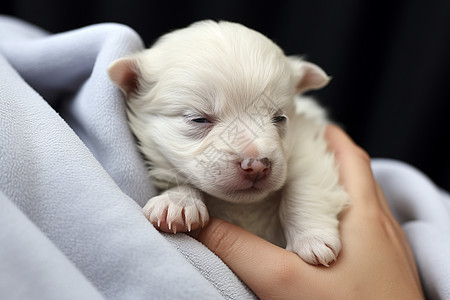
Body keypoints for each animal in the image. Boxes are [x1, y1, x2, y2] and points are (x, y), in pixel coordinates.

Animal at [108, 19, 348, 266]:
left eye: (279, 118)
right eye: (199, 118)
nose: (257, 166)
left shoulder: (306, 140)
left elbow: (306, 185)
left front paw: (313, 239)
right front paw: (177, 203)